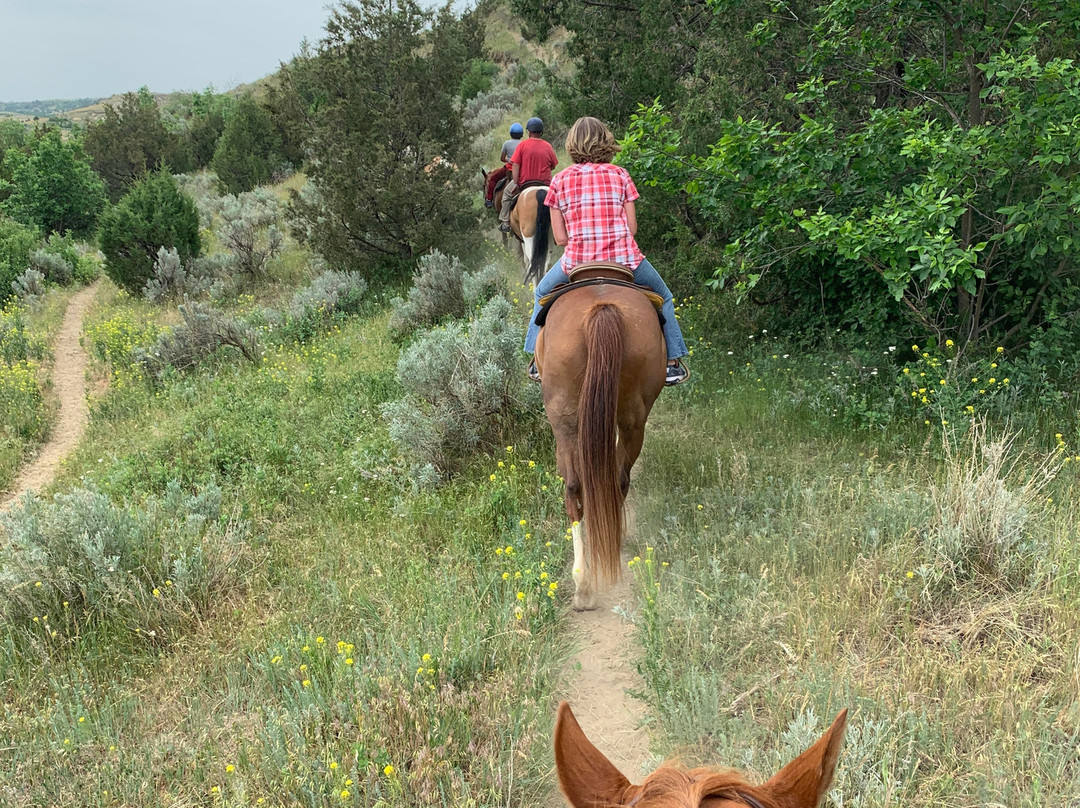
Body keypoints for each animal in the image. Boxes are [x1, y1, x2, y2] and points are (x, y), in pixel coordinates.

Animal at [533, 262, 665, 609]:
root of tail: (601, 309)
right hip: (631, 417)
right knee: (612, 478)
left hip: (567, 419)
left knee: (577, 486)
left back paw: (583, 585)